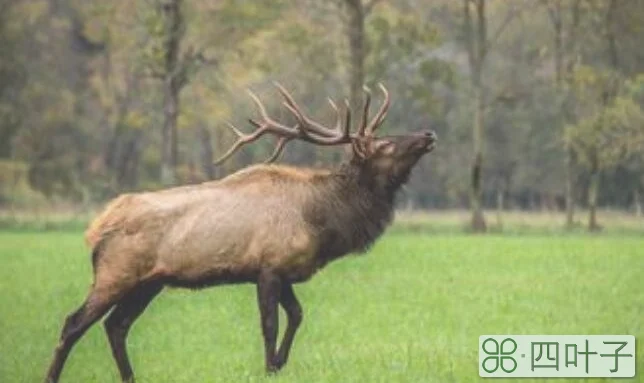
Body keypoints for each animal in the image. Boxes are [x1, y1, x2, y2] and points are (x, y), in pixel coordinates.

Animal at [44, 82, 438, 382]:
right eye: (385, 144)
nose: (428, 133)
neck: (322, 220)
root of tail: (97, 228)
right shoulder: (268, 268)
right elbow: (270, 324)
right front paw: (268, 367)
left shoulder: (284, 271)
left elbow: (297, 315)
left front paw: (279, 364)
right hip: (116, 273)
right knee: (74, 323)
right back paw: (53, 375)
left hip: (148, 282)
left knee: (116, 325)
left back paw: (130, 378)